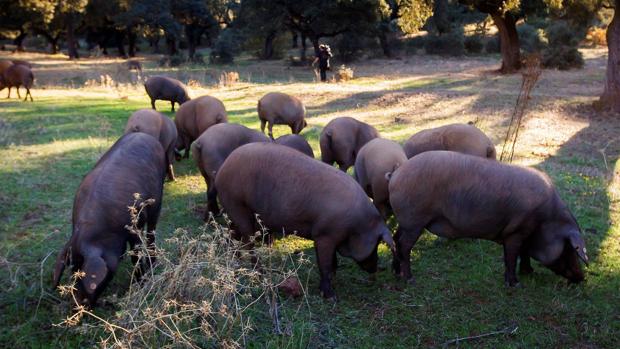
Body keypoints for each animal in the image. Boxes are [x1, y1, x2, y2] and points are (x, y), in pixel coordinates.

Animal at [52, 132, 166, 306]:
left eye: (84, 274)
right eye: (72, 270)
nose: (79, 305)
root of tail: (144, 134)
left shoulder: (134, 227)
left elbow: (136, 255)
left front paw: (141, 283)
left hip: (158, 198)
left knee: (151, 231)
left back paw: (153, 262)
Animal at [216, 143, 394, 298]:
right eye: (377, 243)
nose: (375, 268)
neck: (357, 225)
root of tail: (223, 168)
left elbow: (331, 262)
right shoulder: (325, 235)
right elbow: (325, 264)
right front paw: (330, 296)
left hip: (233, 212)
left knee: (232, 235)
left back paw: (236, 261)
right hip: (237, 205)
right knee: (248, 241)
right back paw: (260, 273)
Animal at [390, 151, 588, 286]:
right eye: (570, 248)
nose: (581, 278)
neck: (546, 219)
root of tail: (396, 174)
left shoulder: (524, 233)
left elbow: (523, 253)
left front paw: (529, 273)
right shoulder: (516, 231)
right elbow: (511, 256)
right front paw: (515, 284)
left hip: (405, 222)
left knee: (395, 239)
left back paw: (396, 272)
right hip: (414, 221)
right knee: (404, 245)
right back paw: (409, 278)